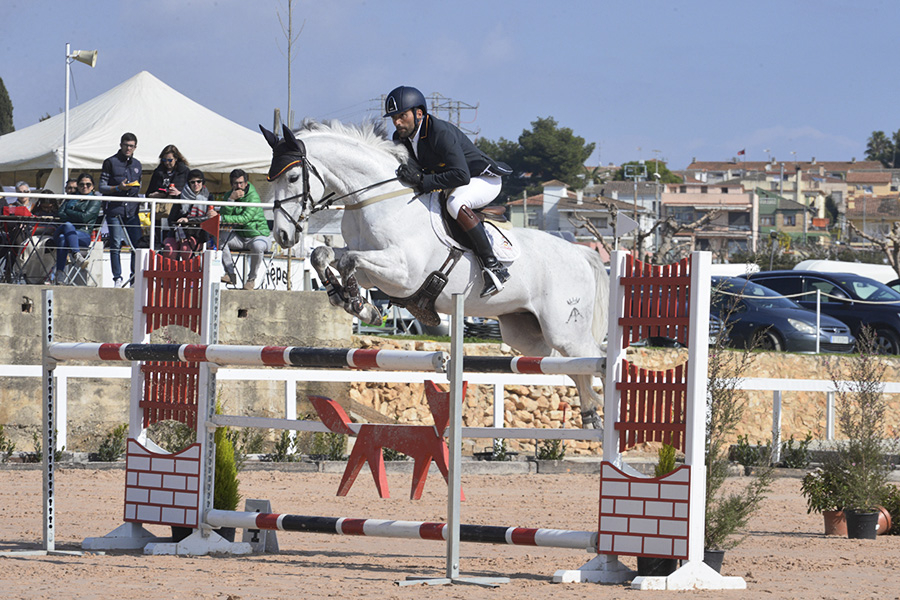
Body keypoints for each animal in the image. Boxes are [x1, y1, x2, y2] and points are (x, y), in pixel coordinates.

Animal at [261, 121, 609, 429]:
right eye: (269, 179)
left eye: (293, 176)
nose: (282, 235)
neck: (373, 202)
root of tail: (581, 253)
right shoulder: (375, 271)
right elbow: (324, 254)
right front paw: (350, 300)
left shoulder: (403, 274)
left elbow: (350, 261)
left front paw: (357, 302)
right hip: (527, 334)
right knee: (571, 366)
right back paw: (590, 415)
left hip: (564, 328)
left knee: (596, 359)